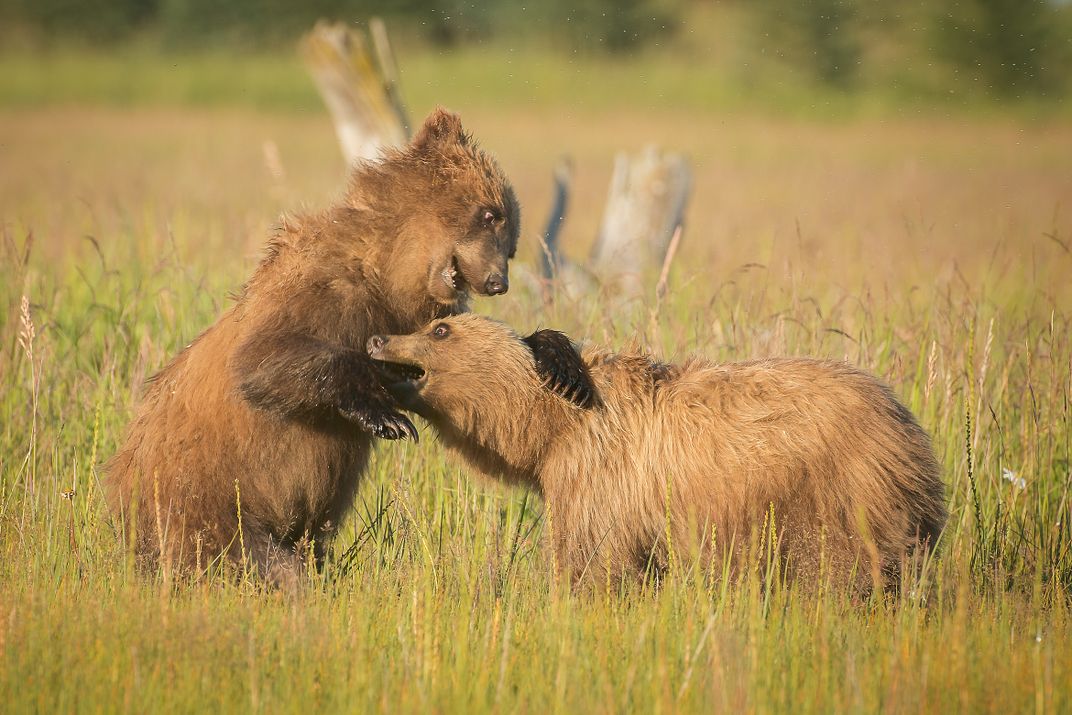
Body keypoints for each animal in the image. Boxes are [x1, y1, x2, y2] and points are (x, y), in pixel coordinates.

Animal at [107, 107, 523, 587]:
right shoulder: (320, 291)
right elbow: (264, 360)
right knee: (247, 555)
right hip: (204, 500)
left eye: (512, 240)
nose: (498, 281)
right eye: (490, 214)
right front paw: (385, 415)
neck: (385, 272)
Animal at [368, 315, 947, 591]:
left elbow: (591, 556)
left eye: (440, 328)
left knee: (843, 566)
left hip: (835, 488)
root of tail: (906, 423)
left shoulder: (599, 473)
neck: (553, 426)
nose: (377, 339)